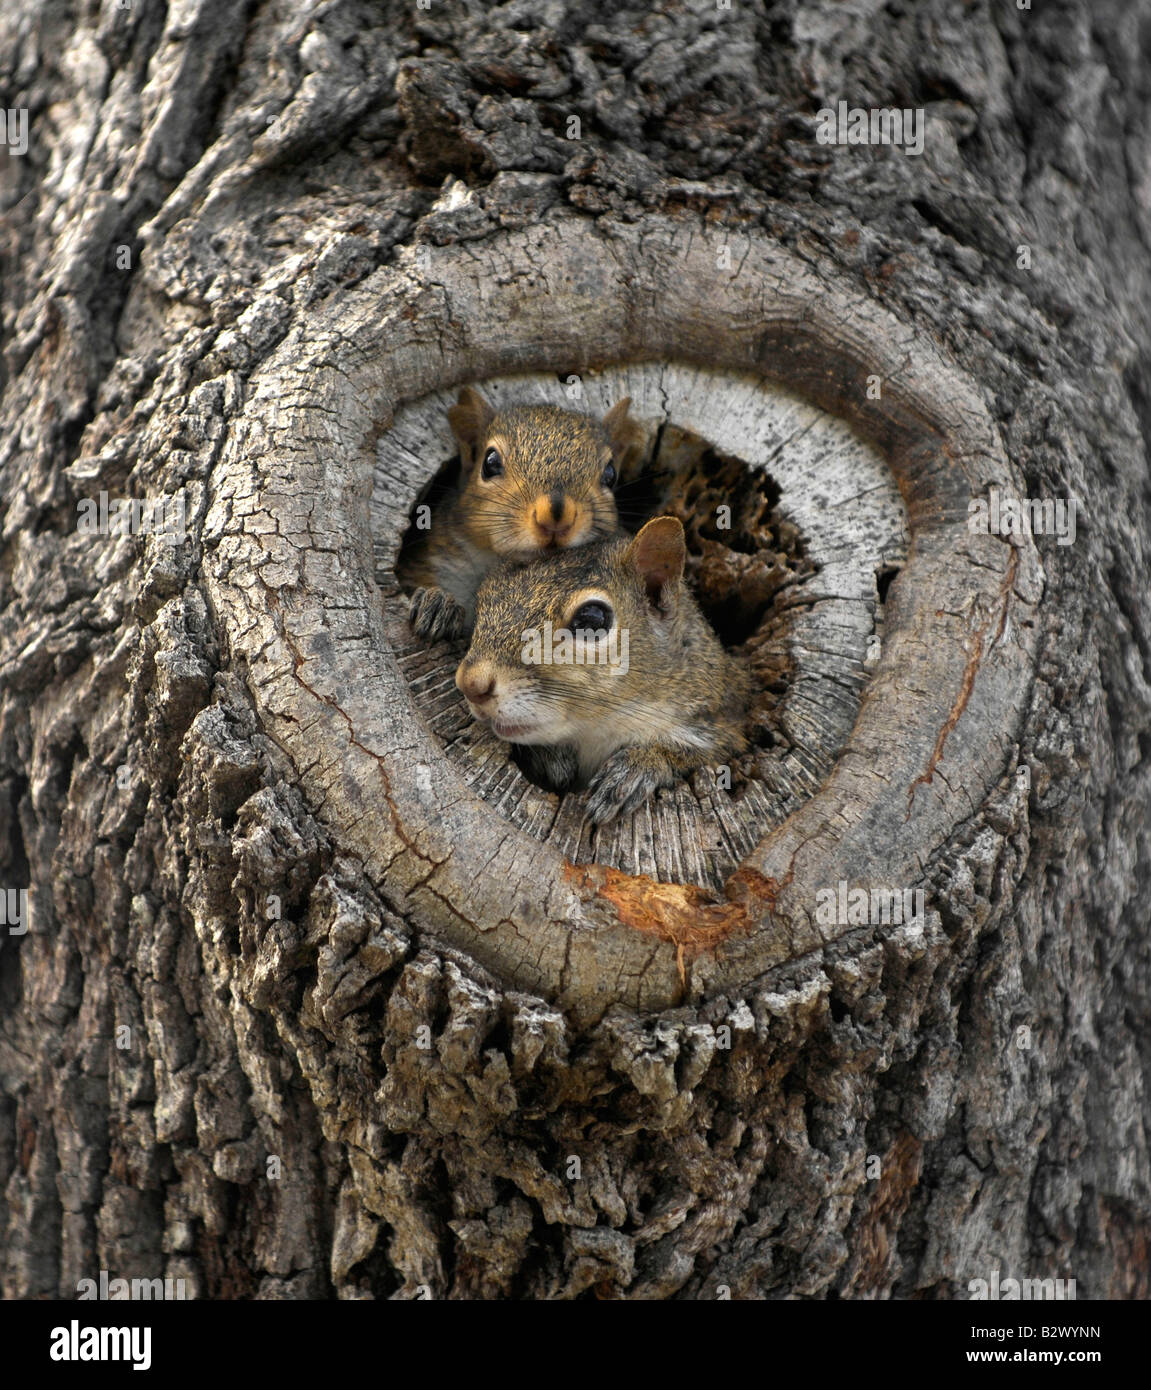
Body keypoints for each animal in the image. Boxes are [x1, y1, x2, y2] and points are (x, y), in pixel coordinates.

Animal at [453, 519, 750, 822]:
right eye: (484, 597)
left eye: (592, 619)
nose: (470, 683)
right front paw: (551, 757)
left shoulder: (723, 723)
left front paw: (638, 768)